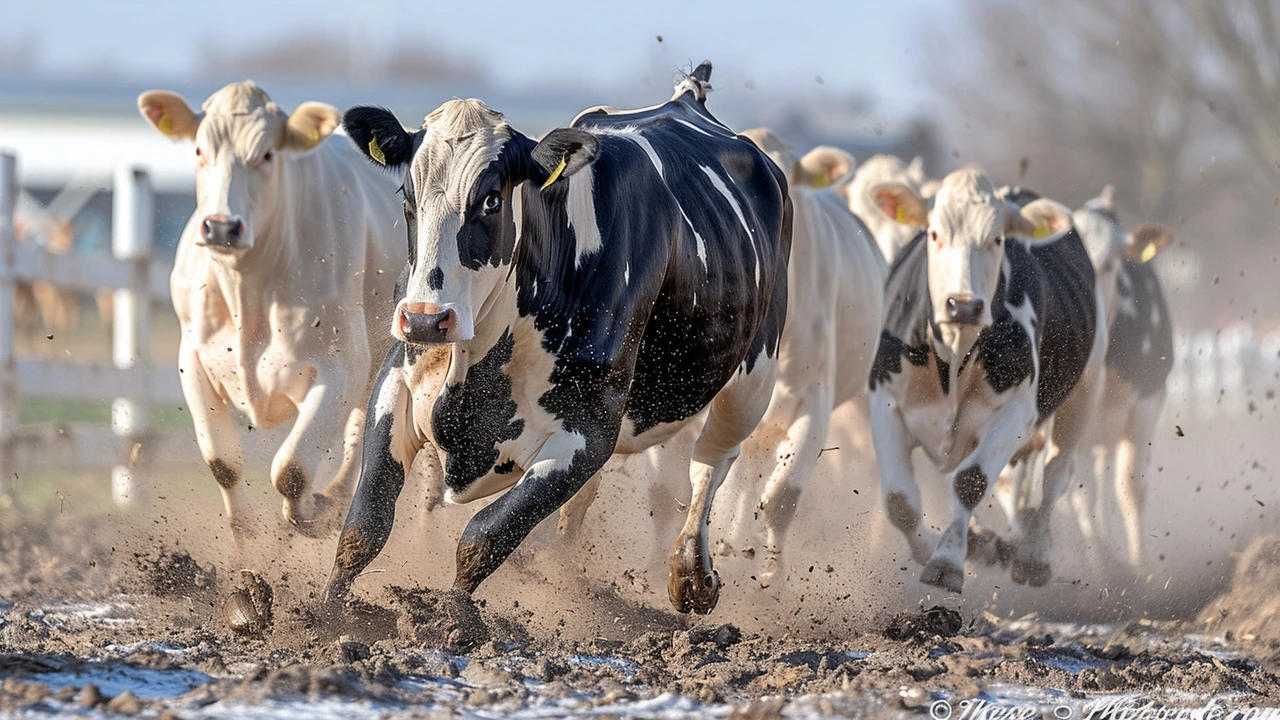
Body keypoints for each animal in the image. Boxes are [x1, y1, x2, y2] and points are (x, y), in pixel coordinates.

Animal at [138, 81, 404, 540]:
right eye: (199, 150)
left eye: (266, 155)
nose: (222, 226)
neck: (249, 289)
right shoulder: (193, 359)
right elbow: (223, 463)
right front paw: (248, 541)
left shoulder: (341, 367)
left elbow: (292, 470)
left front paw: (314, 512)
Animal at [320, 63, 788, 609]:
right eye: (407, 199)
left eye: (492, 199)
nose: (424, 320)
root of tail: (686, 100)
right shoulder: (398, 380)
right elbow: (364, 526)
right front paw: (327, 612)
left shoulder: (589, 430)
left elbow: (484, 536)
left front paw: (453, 616)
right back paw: (558, 565)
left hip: (754, 377)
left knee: (711, 461)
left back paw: (691, 574)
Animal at [870, 167, 1111, 589]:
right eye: (934, 233)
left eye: (997, 238)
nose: (963, 304)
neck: (954, 353)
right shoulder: (884, 399)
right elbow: (899, 499)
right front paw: (932, 546)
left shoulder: (1015, 413)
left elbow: (971, 481)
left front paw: (947, 561)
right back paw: (983, 541)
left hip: (1086, 390)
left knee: (1055, 474)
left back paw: (1033, 556)